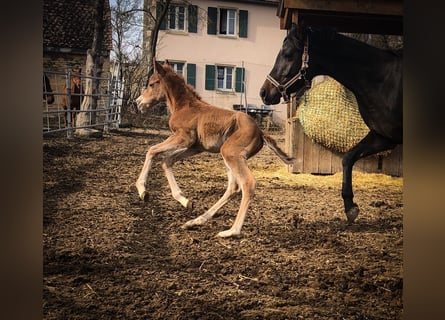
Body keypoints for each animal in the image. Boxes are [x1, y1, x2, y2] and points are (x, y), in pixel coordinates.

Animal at [135, 60, 294, 238]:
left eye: (151, 84)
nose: (138, 102)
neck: (184, 107)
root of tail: (261, 132)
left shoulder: (183, 138)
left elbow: (152, 150)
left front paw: (142, 191)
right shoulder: (195, 146)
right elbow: (167, 161)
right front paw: (185, 201)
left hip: (230, 153)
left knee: (247, 183)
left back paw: (232, 231)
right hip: (228, 156)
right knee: (233, 187)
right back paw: (196, 221)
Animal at [260, 24, 402, 222]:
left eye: (288, 54)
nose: (264, 92)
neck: (383, 80)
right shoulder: (384, 137)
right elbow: (348, 158)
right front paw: (350, 207)